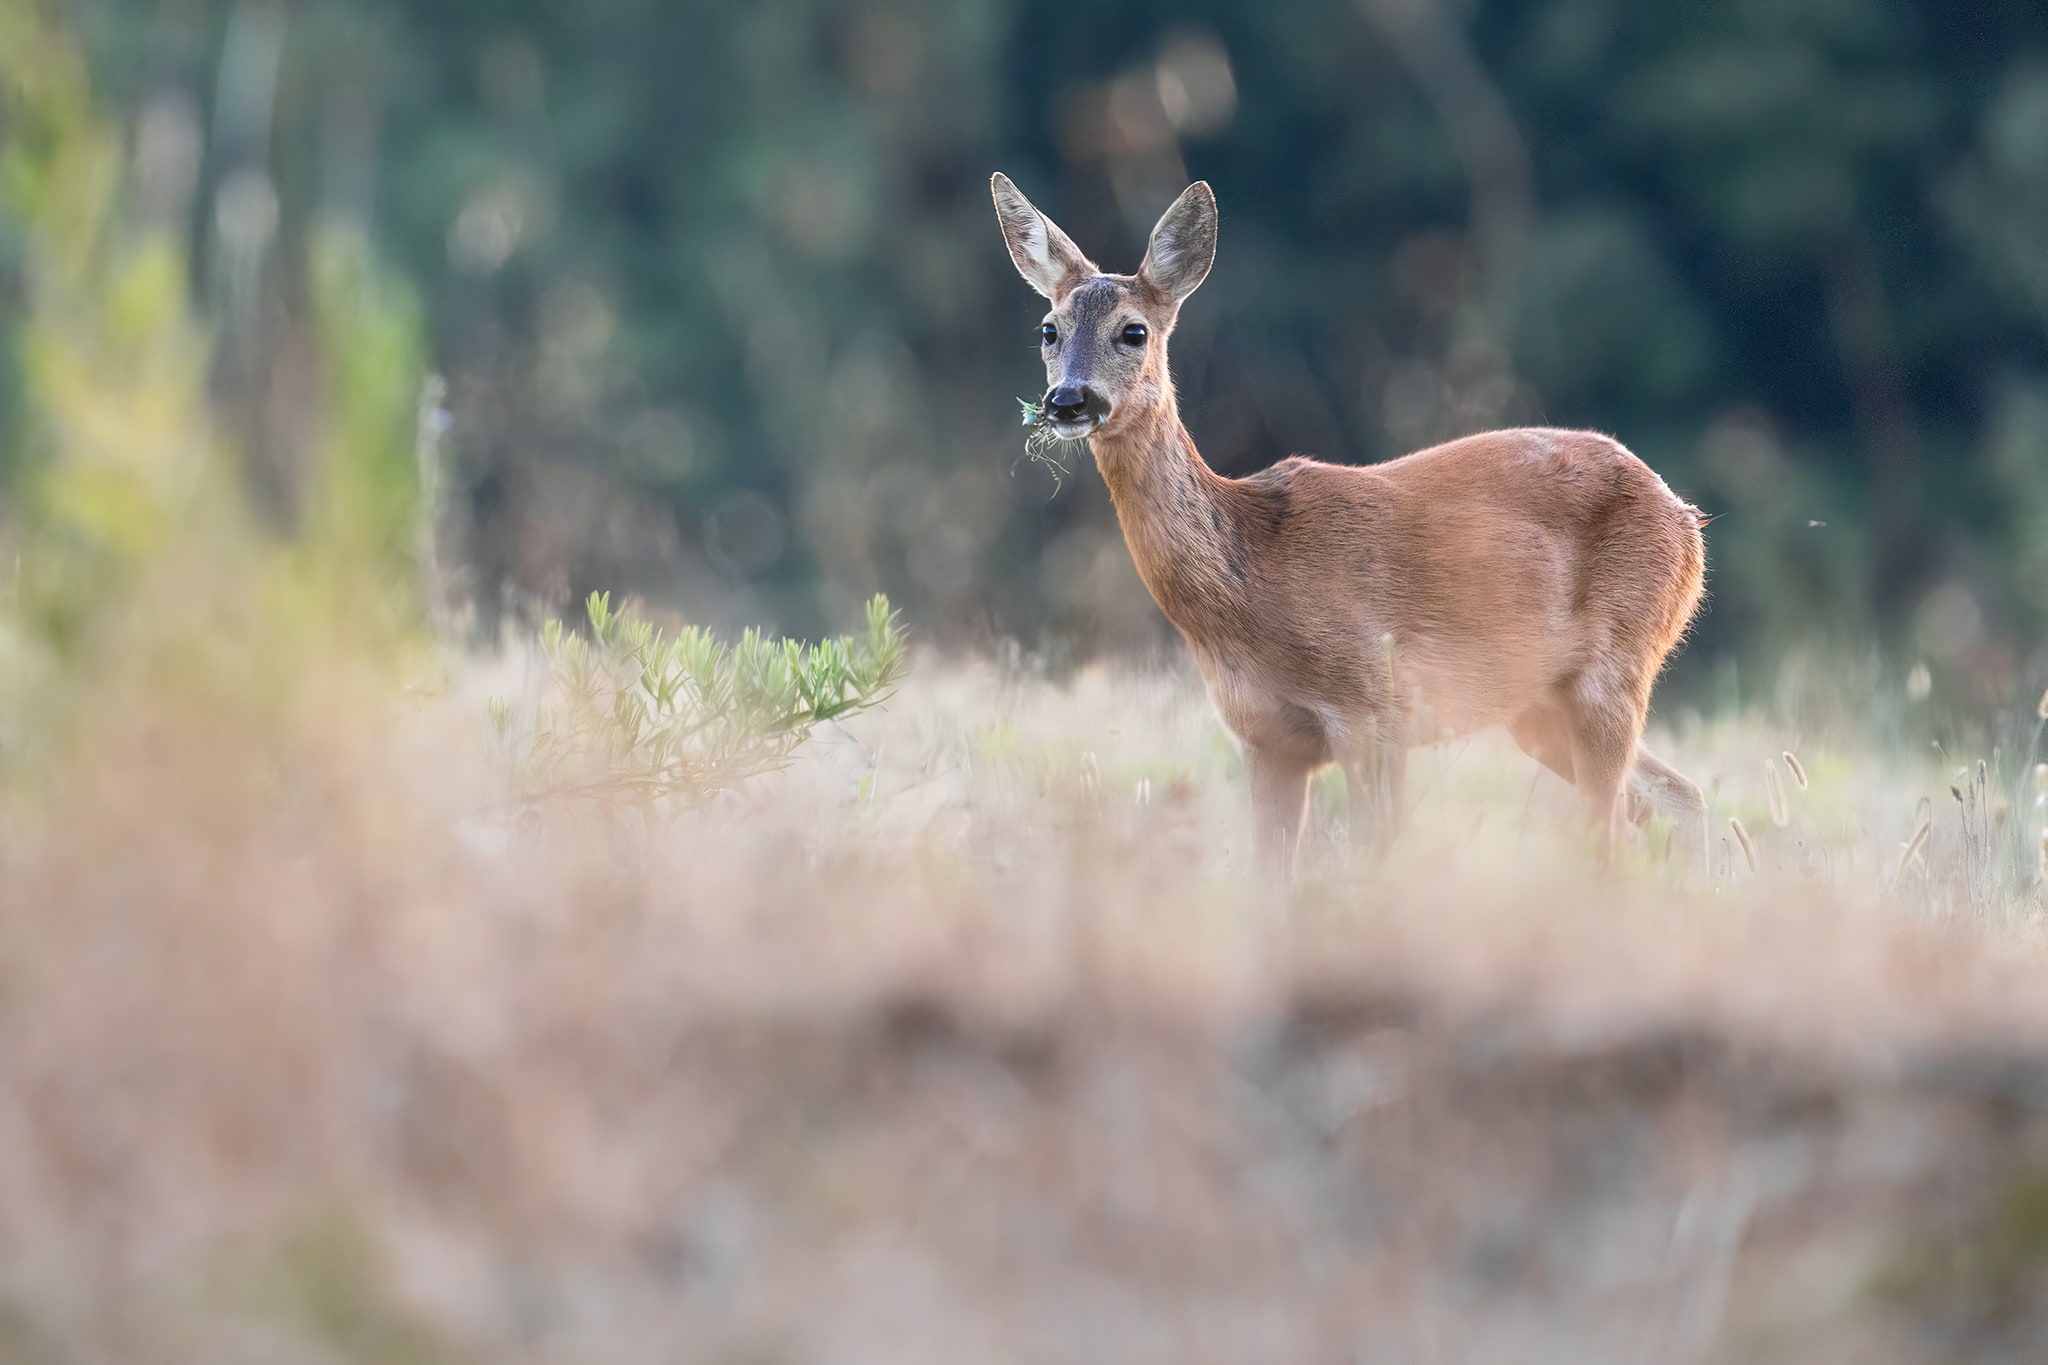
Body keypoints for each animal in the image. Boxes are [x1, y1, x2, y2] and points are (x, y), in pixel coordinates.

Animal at [990, 172, 1711, 878]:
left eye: (1133, 331)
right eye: (1049, 329)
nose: (1067, 400)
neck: (1256, 580)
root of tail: (1687, 519)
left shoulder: (1374, 708)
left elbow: (1374, 859)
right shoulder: (1265, 738)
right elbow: (1269, 877)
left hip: (1618, 662)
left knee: (1610, 827)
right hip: (1538, 706)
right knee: (1677, 797)